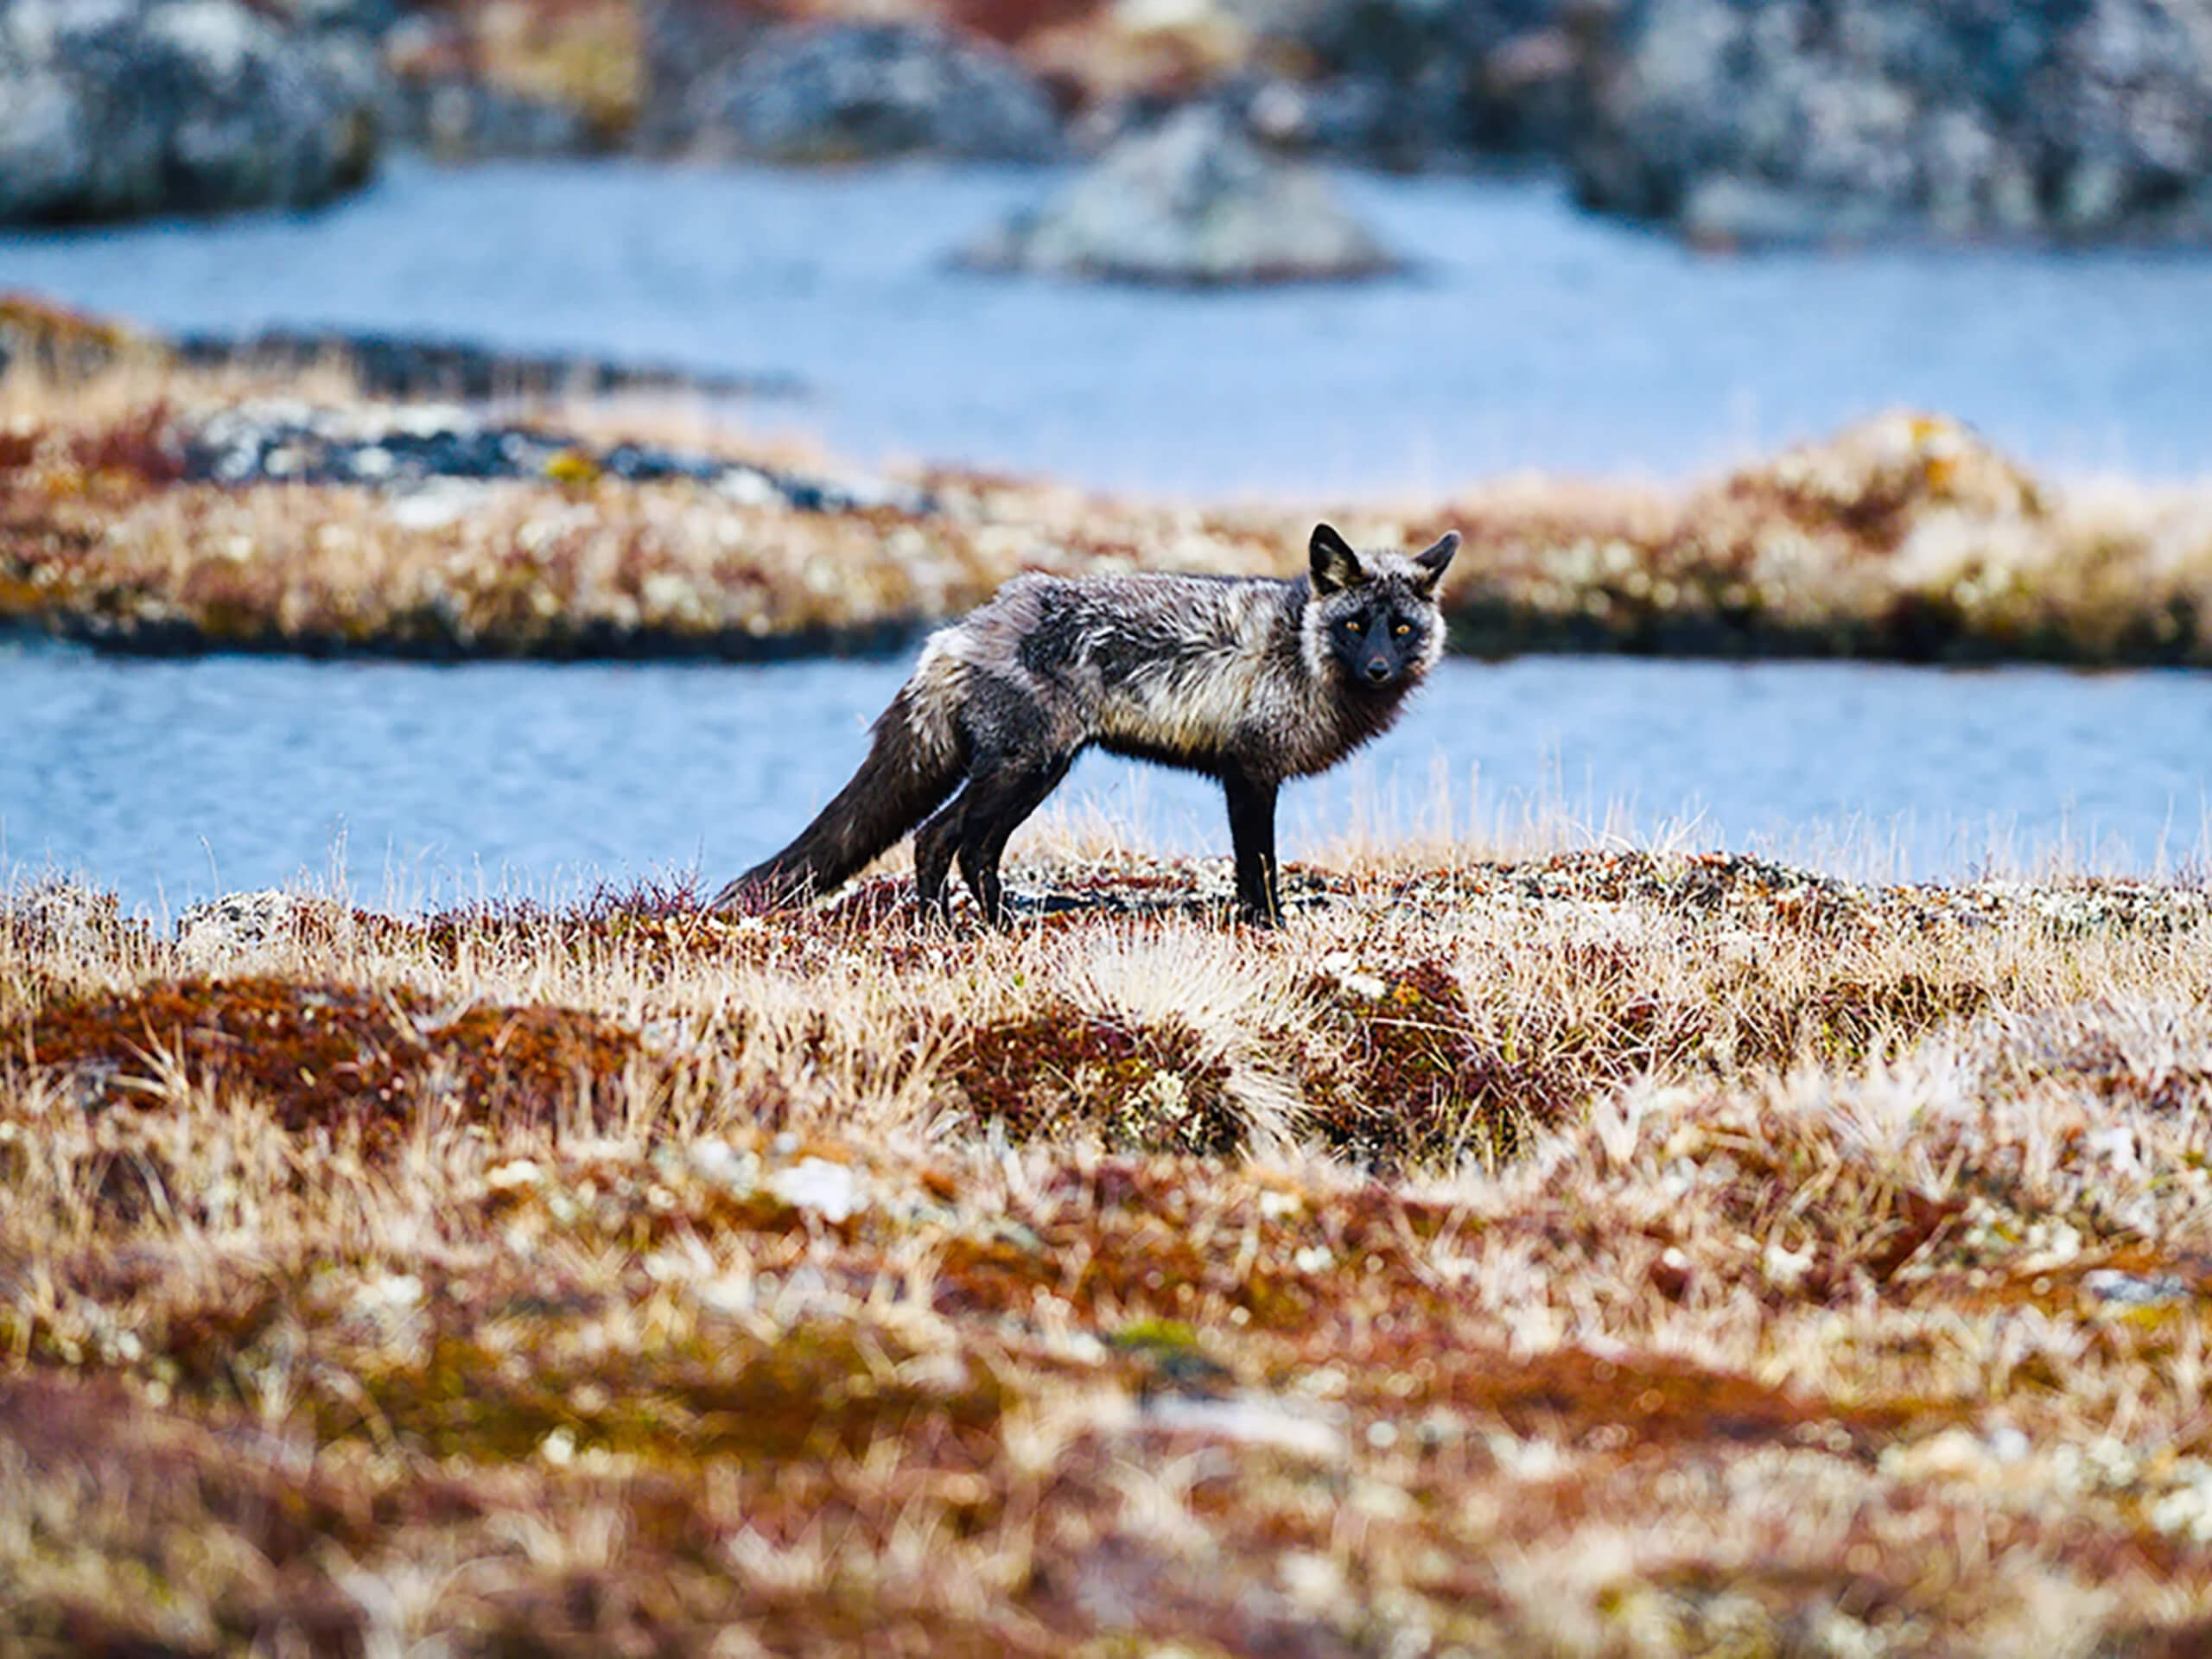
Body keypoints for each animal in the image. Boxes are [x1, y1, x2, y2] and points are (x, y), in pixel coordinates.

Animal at [716, 522, 1459, 929]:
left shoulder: (1246, 777)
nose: (1379, 670)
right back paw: (942, 934)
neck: (1301, 652)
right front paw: (1270, 929)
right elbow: (1260, 868)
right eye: (1356, 626)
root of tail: (962, 629)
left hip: (1036, 775)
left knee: (976, 852)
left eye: (1400, 629)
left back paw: (995, 929)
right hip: (1020, 770)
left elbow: (1252, 870)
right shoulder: (1250, 775)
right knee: (936, 839)